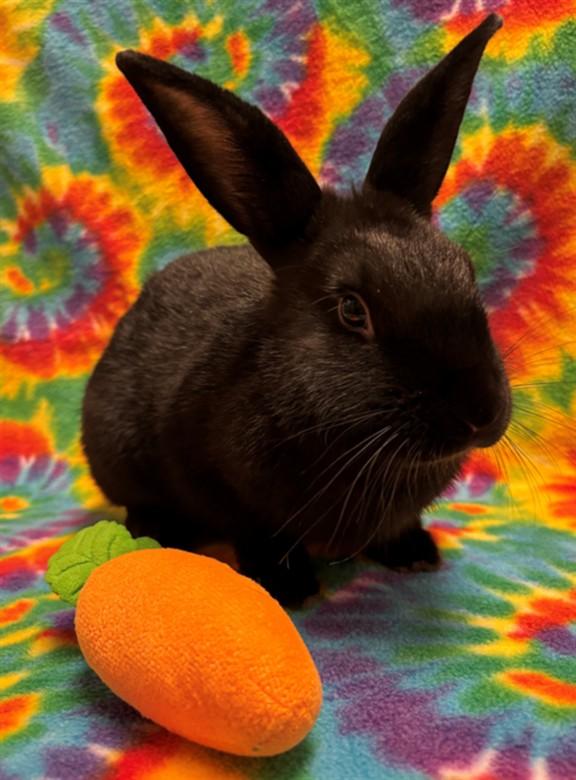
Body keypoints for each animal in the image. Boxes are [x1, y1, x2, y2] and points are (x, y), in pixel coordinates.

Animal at [82, 14, 510, 606]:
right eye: (352, 310)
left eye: (465, 270)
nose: (479, 415)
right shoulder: (225, 493)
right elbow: (258, 535)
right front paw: (290, 588)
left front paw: (415, 554)